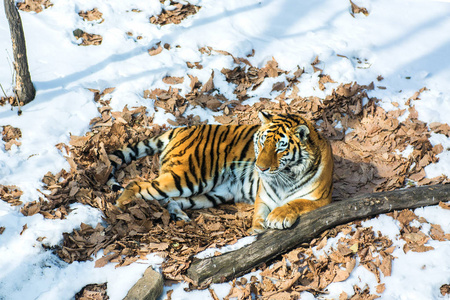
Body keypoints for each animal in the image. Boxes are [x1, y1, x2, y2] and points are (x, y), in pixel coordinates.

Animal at [108, 111, 334, 233]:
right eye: (262, 143)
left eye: (280, 148)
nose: (260, 168)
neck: (286, 177)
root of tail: (182, 128)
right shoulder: (263, 197)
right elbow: (259, 213)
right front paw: (257, 228)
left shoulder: (323, 200)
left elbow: (296, 202)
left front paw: (277, 216)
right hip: (188, 177)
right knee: (136, 184)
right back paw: (120, 206)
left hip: (211, 193)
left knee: (169, 200)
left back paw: (179, 215)